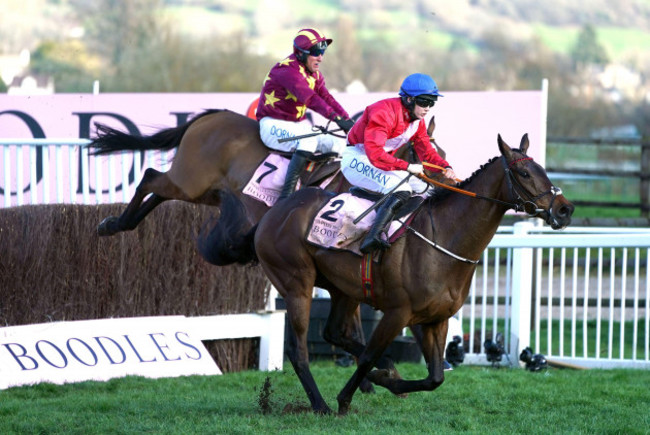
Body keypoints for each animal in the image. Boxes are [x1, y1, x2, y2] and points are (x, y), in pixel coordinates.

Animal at [196, 133, 572, 416]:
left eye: (543, 170)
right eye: (525, 174)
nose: (565, 209)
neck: (444, 237)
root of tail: (273, 214)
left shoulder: (434, 319)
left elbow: (435, 377)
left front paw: (388, 380)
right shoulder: (398, 313)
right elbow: (368, 357)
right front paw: (347, 398)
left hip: (343, 290)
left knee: (334, 332)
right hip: (296, 284)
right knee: (299, 350)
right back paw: (320, 404)